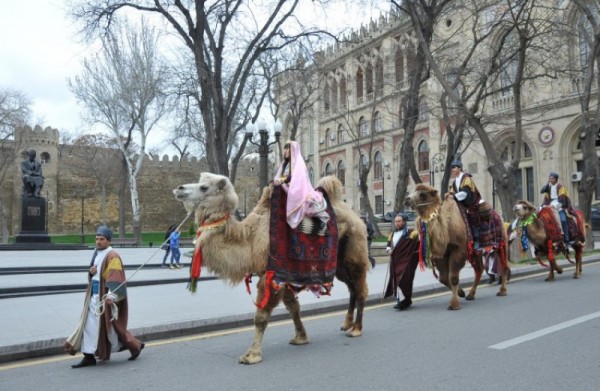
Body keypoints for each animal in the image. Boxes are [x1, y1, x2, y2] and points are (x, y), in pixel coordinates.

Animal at [173, 173, 368, 366]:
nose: (179, 189)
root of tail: (356, 217)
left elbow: (261, 316)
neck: (250, 239)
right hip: (339, 263)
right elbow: (293, 307)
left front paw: (251, 355)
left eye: (204, 187)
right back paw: (347, 324)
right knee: (352, 287)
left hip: (355, 250)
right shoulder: (283, 276)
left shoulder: (270, 274)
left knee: (360, 288)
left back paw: (356, 329)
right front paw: (301, 338)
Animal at [406, 182, 508, 310]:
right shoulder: (442, 254)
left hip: (501, 242)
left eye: (423, 194)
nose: (407, 199)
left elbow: (453, 277)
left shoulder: (459, 249)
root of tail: (499, 216)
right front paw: (461, 293)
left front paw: (454, 304)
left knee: (503, 265)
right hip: (476, 251)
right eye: (413, 191)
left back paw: (502, 291)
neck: (446, 229)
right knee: (479, 269)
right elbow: (444, 278)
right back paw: (470, 294)